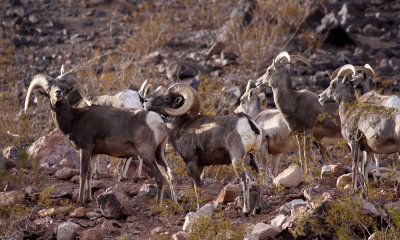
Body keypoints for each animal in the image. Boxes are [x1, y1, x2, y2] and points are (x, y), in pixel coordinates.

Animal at [24, 72, 176, 205]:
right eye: (49, 89)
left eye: (64, 88)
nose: (58, 93)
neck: (74, 118)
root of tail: (159, 121)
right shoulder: (93, 153)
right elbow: (90, 175)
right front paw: (89, 199)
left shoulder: (84, 150)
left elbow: (83, 174)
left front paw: (80, 202)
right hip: (159, 154)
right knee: (169, 175)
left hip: (147, 155)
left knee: (160, 177)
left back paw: (157, 205)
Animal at [144, 83, 262, 215]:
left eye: (166, 98)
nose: (146, 102)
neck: (180, 127)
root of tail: (249, 123)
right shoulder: (199, 166)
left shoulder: (192, 162)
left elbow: (198, 187)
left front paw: (198, 209)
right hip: (252, 158)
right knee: (258, 179)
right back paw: (257, 209)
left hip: (237, 160)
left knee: (246, 181)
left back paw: (246, 210)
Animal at [318, 63, 400, 191]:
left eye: (332, 85)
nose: (320, 97)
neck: (349, 110)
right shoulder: (368, 149)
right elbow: (365, 166)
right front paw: (365, 189)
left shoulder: (354, 143)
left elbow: (355, 165)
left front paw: (354, 189)